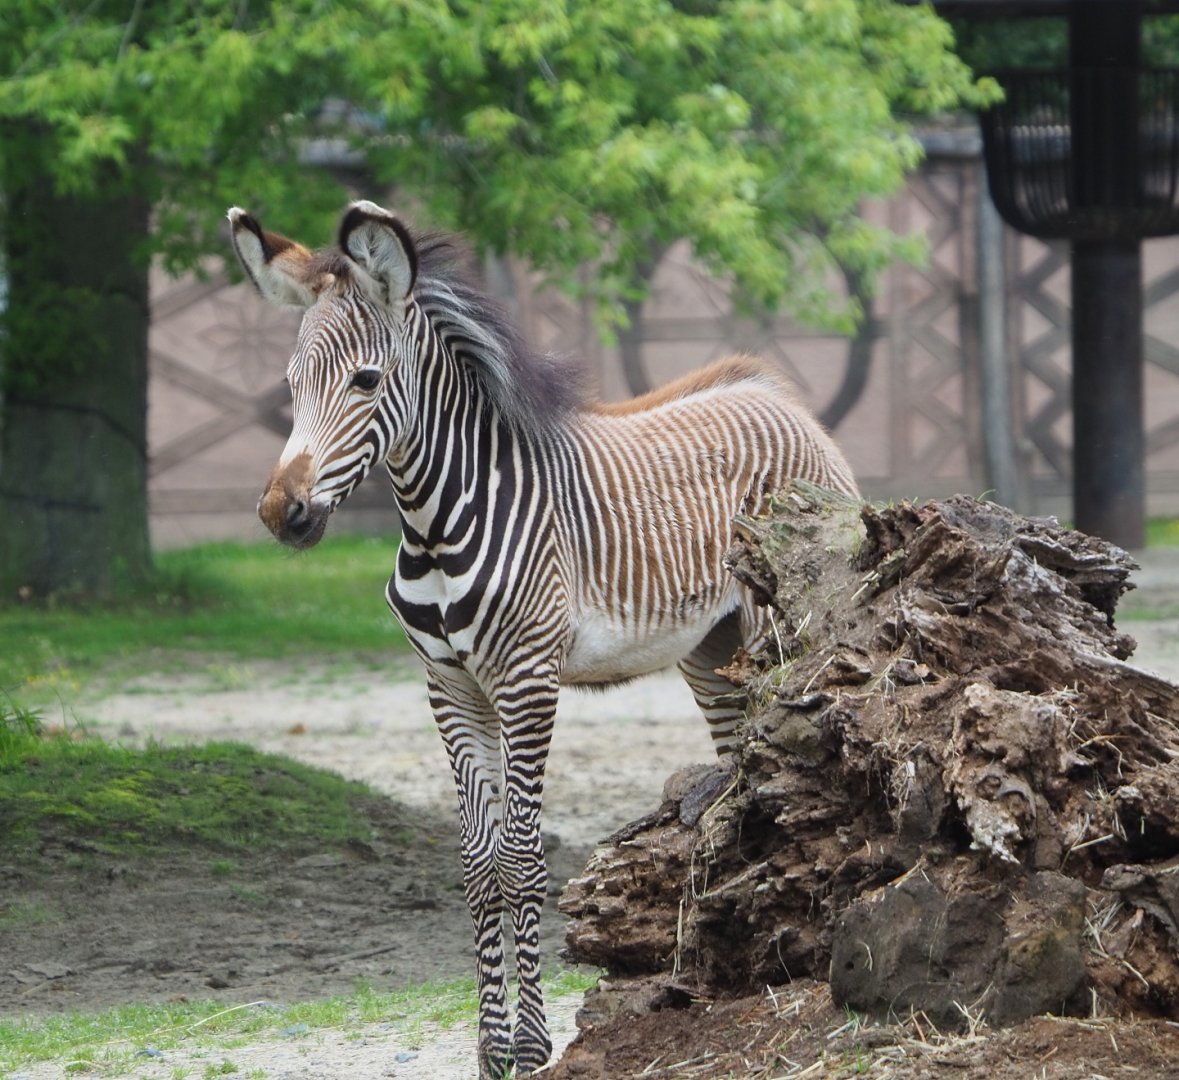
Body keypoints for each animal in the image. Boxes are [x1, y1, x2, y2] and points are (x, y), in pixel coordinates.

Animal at [227, 199, 859, 1078]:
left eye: (365, 381)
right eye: (291, 386)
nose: (280, 516)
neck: (433, 525)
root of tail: (773, 394)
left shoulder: (527, 681)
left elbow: (524, 861)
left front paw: (530, 1044)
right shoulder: (450, 688)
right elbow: (479, 864)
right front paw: (490, 1048)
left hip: (786, 634)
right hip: (714, 651)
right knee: (742, 777)